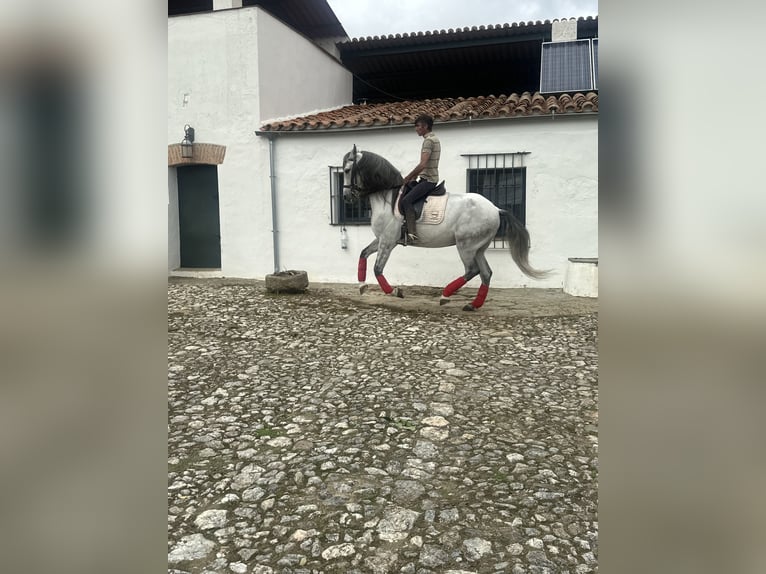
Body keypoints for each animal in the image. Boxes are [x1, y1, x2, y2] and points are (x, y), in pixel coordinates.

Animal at [344, 146, 552, 312]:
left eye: (347, 170)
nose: (347, 197)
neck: (388, 198)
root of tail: (495, 209)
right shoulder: (381, 239)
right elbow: (363, 254)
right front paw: (361, 286)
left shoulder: (388, 241)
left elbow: (378, 269)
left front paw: (395, 291)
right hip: (478, 248)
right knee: (486, 273)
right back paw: (472, 305)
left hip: (465, 246)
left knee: (472, 270)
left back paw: (445, 296)